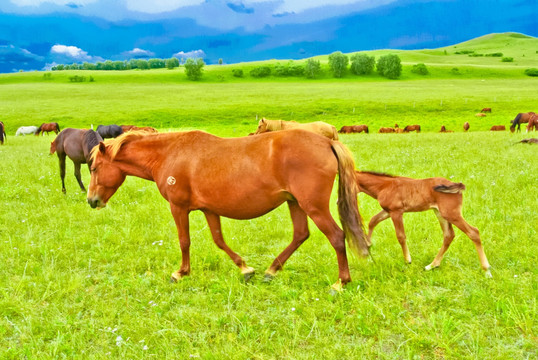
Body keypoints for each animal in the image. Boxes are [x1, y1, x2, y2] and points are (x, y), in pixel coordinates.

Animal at [87, 129, 368, 290]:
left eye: (94, 167)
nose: (91, 200)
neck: (169, 154)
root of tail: (326, 143)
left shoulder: (178, 208)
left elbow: (184, 241)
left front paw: (180, 273)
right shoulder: (209, 210)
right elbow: (219, 240)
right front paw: (246, 269)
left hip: (312, 205)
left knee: (336, 236)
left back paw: (340, 282)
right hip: (295, 203)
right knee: (300, 235)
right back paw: (271, 271)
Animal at [356, 170, 490, 278]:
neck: (384, 186)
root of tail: (457, 186)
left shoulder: (396, 212)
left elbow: (400, 236)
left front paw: (407, 261)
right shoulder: (388, 211)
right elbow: (373, 220)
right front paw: (367, 244)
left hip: (451, 214)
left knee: (473, 232)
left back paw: (486, 270)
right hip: (440, 213)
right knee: (449, 235)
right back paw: (432, 265)